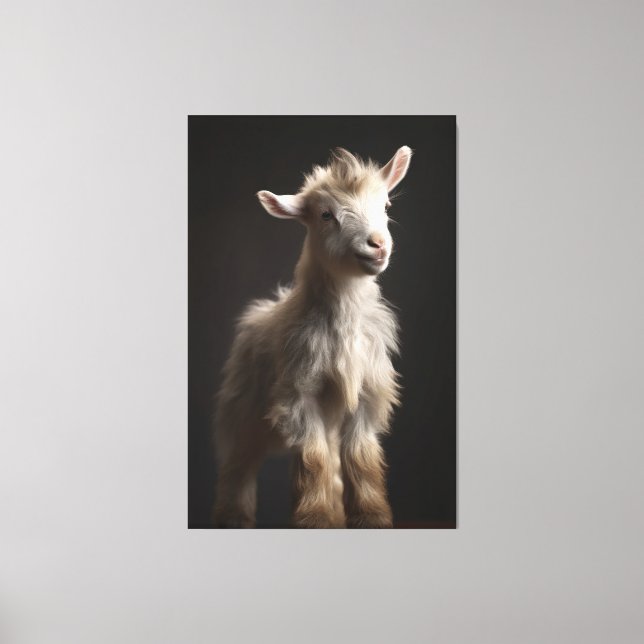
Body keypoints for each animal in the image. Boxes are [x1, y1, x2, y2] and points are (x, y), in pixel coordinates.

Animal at [213, 146, 412, 528]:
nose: (378, 245)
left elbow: (360, 457)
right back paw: (233, 518)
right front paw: (316, 518)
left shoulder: (365, 393)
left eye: (385, 205)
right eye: (326, 215)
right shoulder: (299, 394)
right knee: (238, 465)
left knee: (332, 461)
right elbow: (314, 458)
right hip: (244, 408)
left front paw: (371, 516)